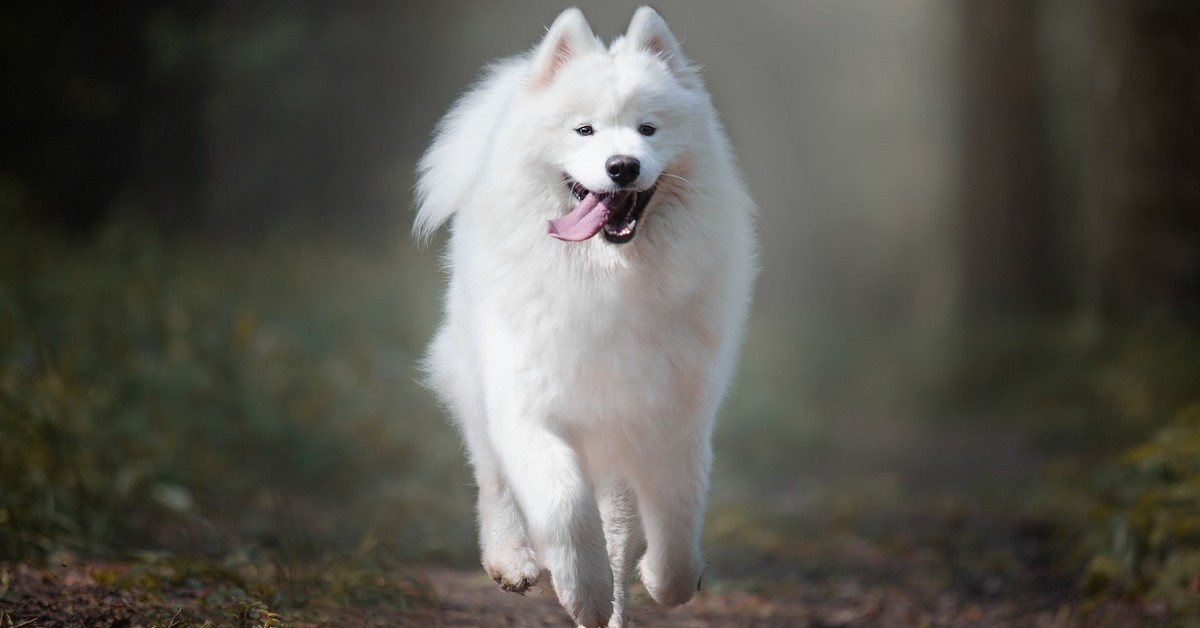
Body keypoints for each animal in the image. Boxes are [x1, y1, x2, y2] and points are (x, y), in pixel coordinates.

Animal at [412, 6, 748, 628]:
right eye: (584, 131)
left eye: (648, 129)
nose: (622, 166)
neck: (607, 279)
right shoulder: (529, 407)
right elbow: (562, 503)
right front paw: (580, 589)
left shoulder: (670, 415)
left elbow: (677, 514)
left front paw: (663, 580)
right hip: (476, 383)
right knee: (493, 476)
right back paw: (513, 559)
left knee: (617, 532)